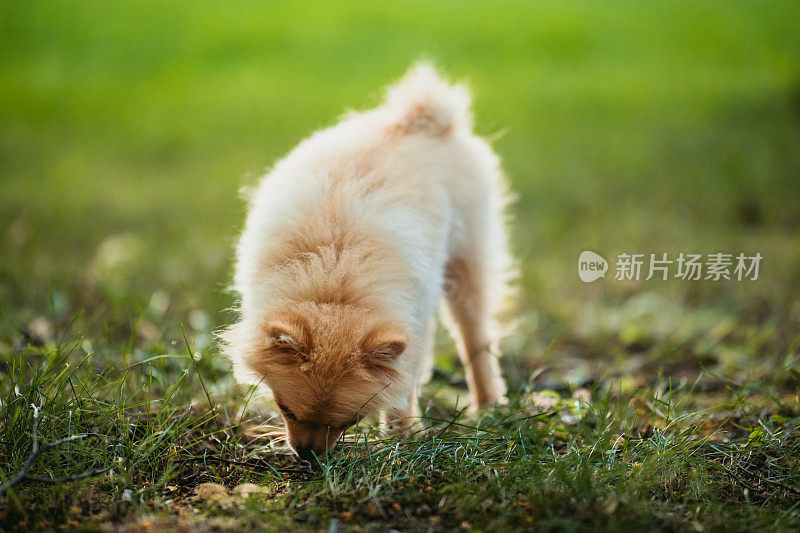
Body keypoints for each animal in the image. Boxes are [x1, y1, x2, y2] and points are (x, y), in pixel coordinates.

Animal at [222, 62, 516, 460]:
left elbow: (403, 386)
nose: (309, 454)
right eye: (285, 409)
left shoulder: (414, 317)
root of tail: (421, 121)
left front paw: (402, 435)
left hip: (467, 258)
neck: (334, 279)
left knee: (475, 338)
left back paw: (487, 404)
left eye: (348, 421)